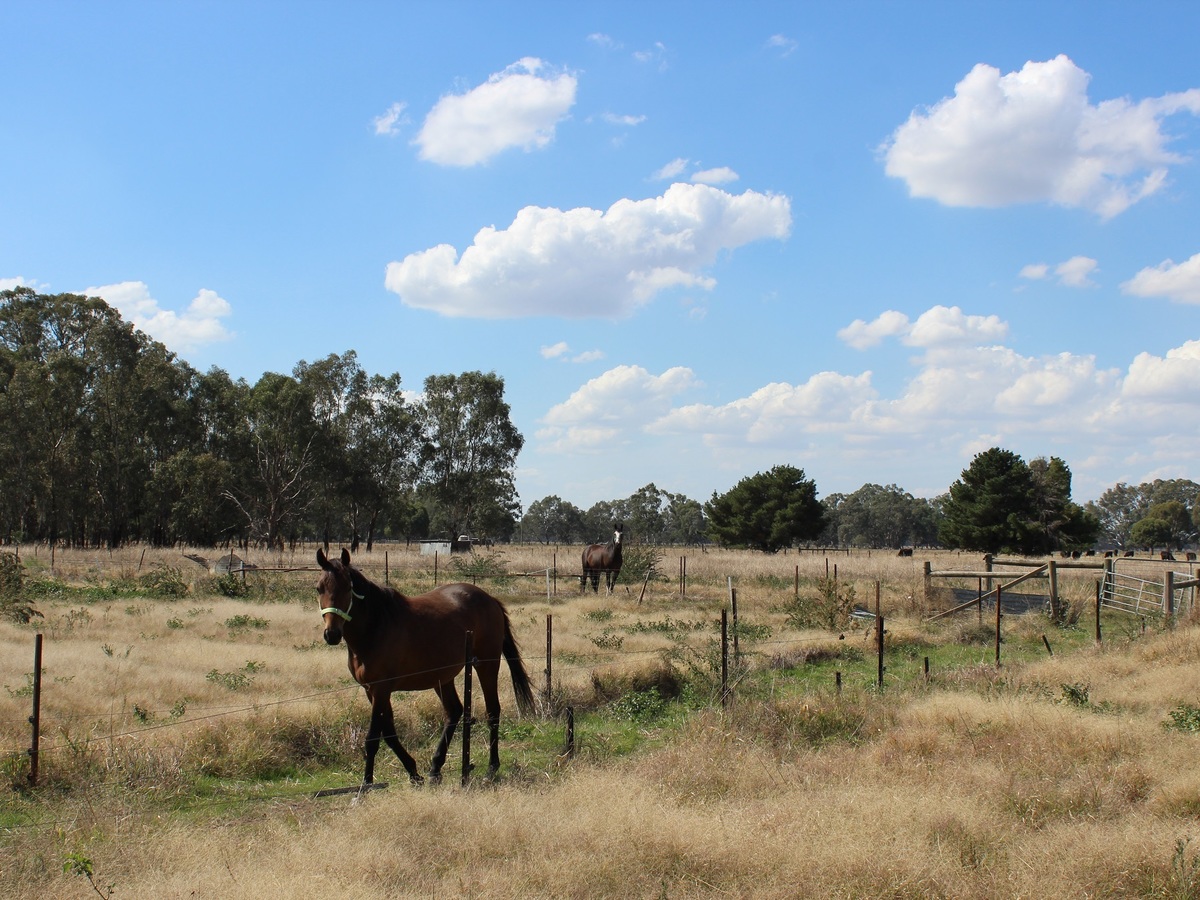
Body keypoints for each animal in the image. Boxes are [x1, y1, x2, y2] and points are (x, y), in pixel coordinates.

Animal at [316, 547, 532, 787]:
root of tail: (489, 598)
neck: (376, 626)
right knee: (454, 711)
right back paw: (436, 767)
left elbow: (373, 737)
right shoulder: (371, 690)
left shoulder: (381, 689)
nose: (332, 634)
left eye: (348, 587)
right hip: (442, 677)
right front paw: (413, 771)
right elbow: (389, 733)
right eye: (319, 588)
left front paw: (367, 783)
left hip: (487, 664)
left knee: (492, 711)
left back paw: (491, 767)